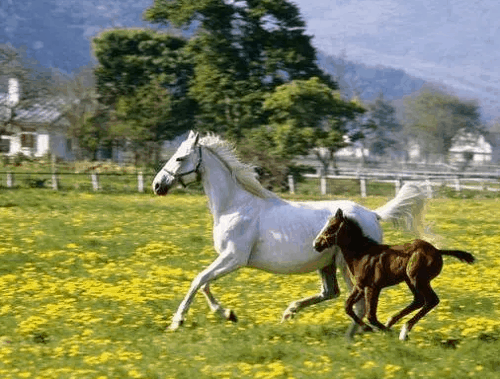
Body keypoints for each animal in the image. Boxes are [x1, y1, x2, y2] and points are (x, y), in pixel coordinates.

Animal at [152, 130, 426, 336]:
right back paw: (290, 312)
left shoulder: (233, 258)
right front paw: (228, 314)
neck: (235, 206)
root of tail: (372, 214)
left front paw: (177, 322)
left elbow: (198, 280)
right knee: (331, 292)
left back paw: (353, 335)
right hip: (327, 264)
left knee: (355, 302)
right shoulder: (226, 259)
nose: (157, 185)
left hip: (347, 265)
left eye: (179, 158)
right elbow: (205, 283)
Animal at [314, 208, 474, 342]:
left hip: (417, 278)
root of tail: (437, 251)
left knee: (431, 300)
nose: (316, 244)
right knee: (419, 300)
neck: (362, 254)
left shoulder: (373, 287)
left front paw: (382, 330)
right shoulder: (360, 287)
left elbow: (371, 315)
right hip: (410, 280)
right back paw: (392, 322)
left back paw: (403, 331)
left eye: (331, 227)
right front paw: (368, 328)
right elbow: (347, 306)